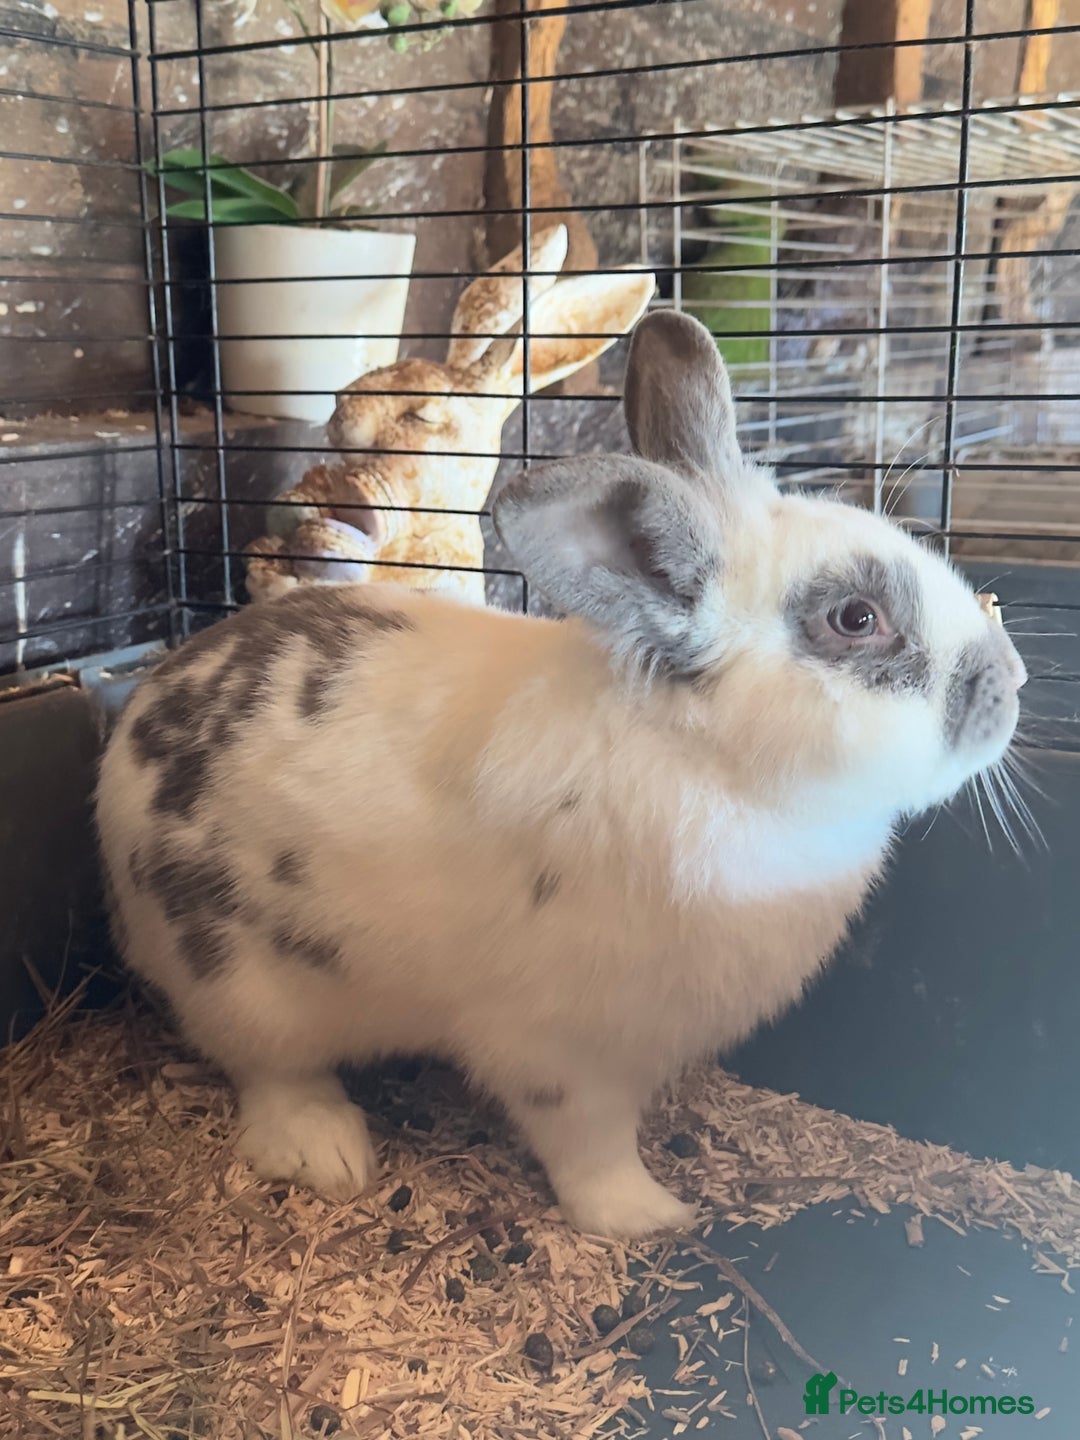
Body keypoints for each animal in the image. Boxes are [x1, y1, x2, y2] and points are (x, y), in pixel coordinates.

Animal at [96, 310, 1027, 1241]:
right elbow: (590, 1147)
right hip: (241, 982)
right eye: (855, 620)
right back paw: (326, 1150)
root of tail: (139, 718)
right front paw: (649, 1216)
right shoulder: (564, 1053)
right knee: (270, 1071)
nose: (1012, 680)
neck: (712, 763)